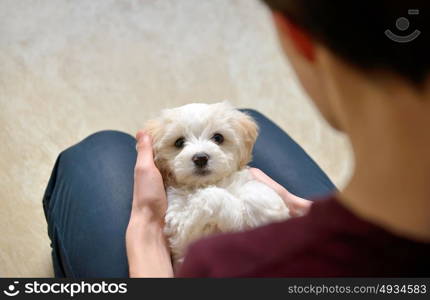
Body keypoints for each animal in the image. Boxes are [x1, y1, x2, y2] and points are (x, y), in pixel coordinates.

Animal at [144, 101, 288, 262]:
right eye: (179, 142)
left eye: (218, 138)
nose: (200, 158)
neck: (206, 183)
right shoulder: (181, 232)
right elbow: (212, 197)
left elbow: (252, 189)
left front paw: (269, 209)